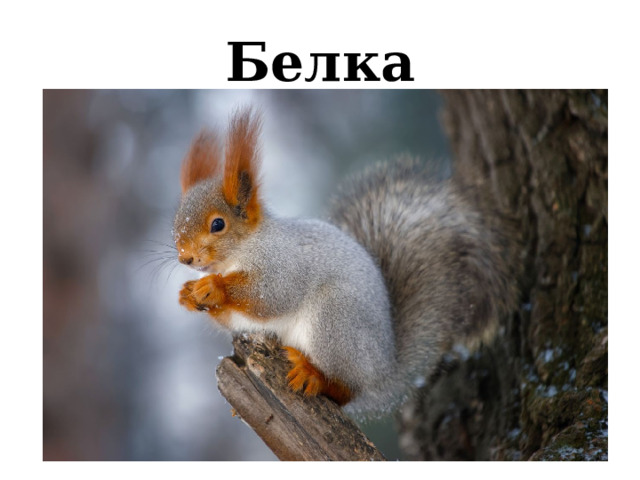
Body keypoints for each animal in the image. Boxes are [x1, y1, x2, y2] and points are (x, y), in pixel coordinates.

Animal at [173, 107, 516, 416]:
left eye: (218, 224)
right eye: (176, 221)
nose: (185, 257)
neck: (240, 252)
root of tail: (384, 371)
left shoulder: (284, 264)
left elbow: (270, 296)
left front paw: (214, 287)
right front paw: (188, 294)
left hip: (335, 320)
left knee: (346, 390)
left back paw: (314, 376)